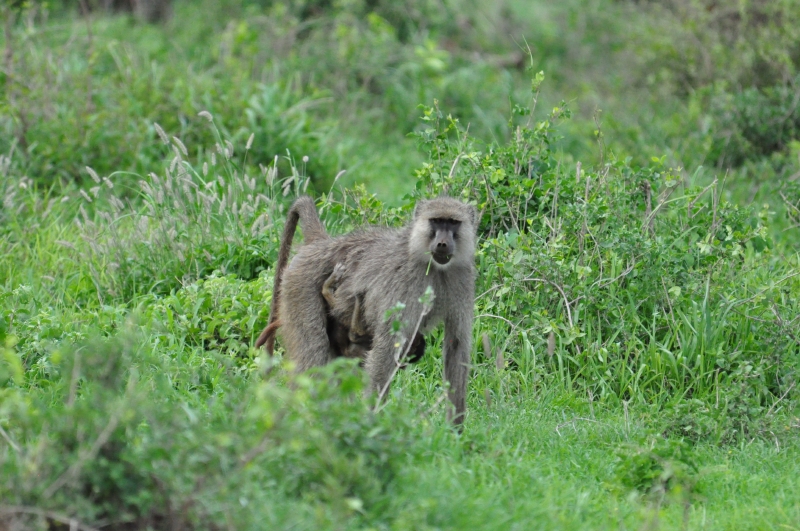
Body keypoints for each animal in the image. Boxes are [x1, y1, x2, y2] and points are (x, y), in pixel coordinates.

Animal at [257, 195, 477, 425]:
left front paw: (455, 429)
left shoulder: (462, 278)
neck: (431, 265)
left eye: (452, 223)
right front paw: (371, 420)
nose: (442, 244)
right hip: (299, 287)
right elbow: (386, 348)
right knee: (314, 360)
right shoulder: (402, 284)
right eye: (436, 221)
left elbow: (456, 344)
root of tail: (322, 243)